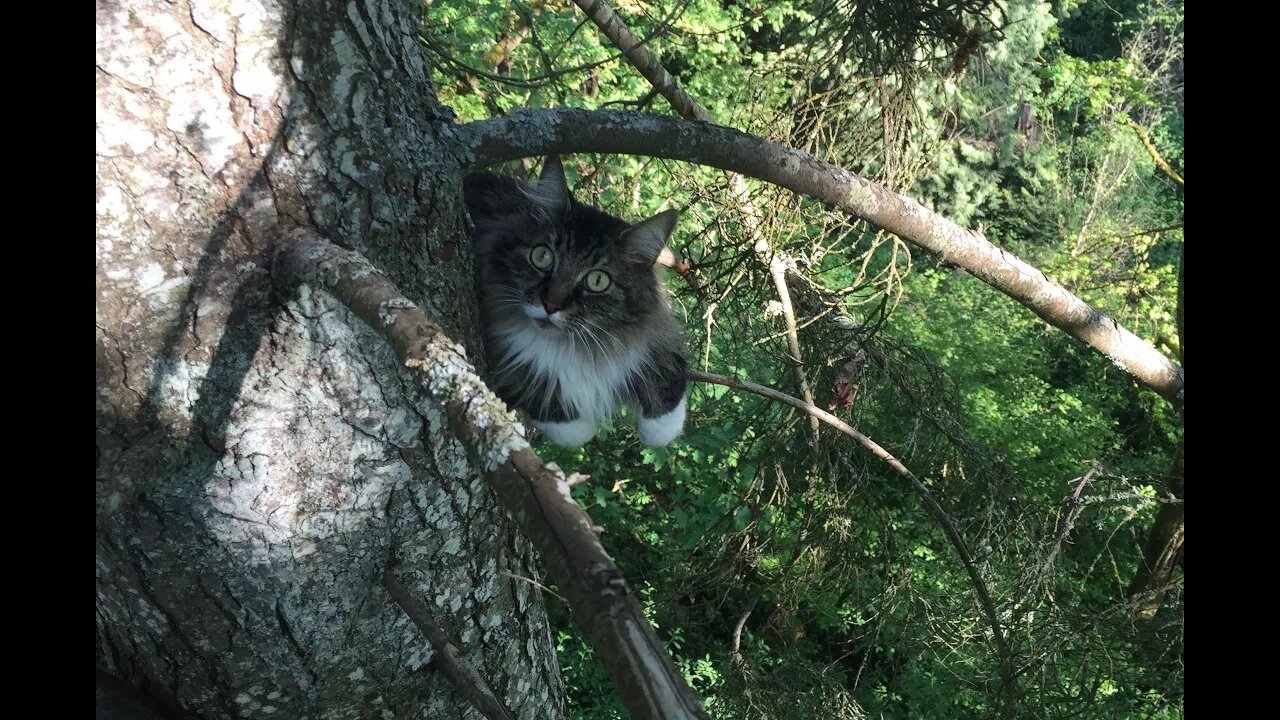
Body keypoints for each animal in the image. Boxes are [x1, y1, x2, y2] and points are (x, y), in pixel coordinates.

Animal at [465, 155, 691, 448]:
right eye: (542, 256)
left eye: (597, 281)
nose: (550, 305)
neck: (575, 348)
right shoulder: (502, 349)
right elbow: (555, 409)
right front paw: (580, 426)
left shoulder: (654, 332)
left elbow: (669, 371)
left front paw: (661, 427)